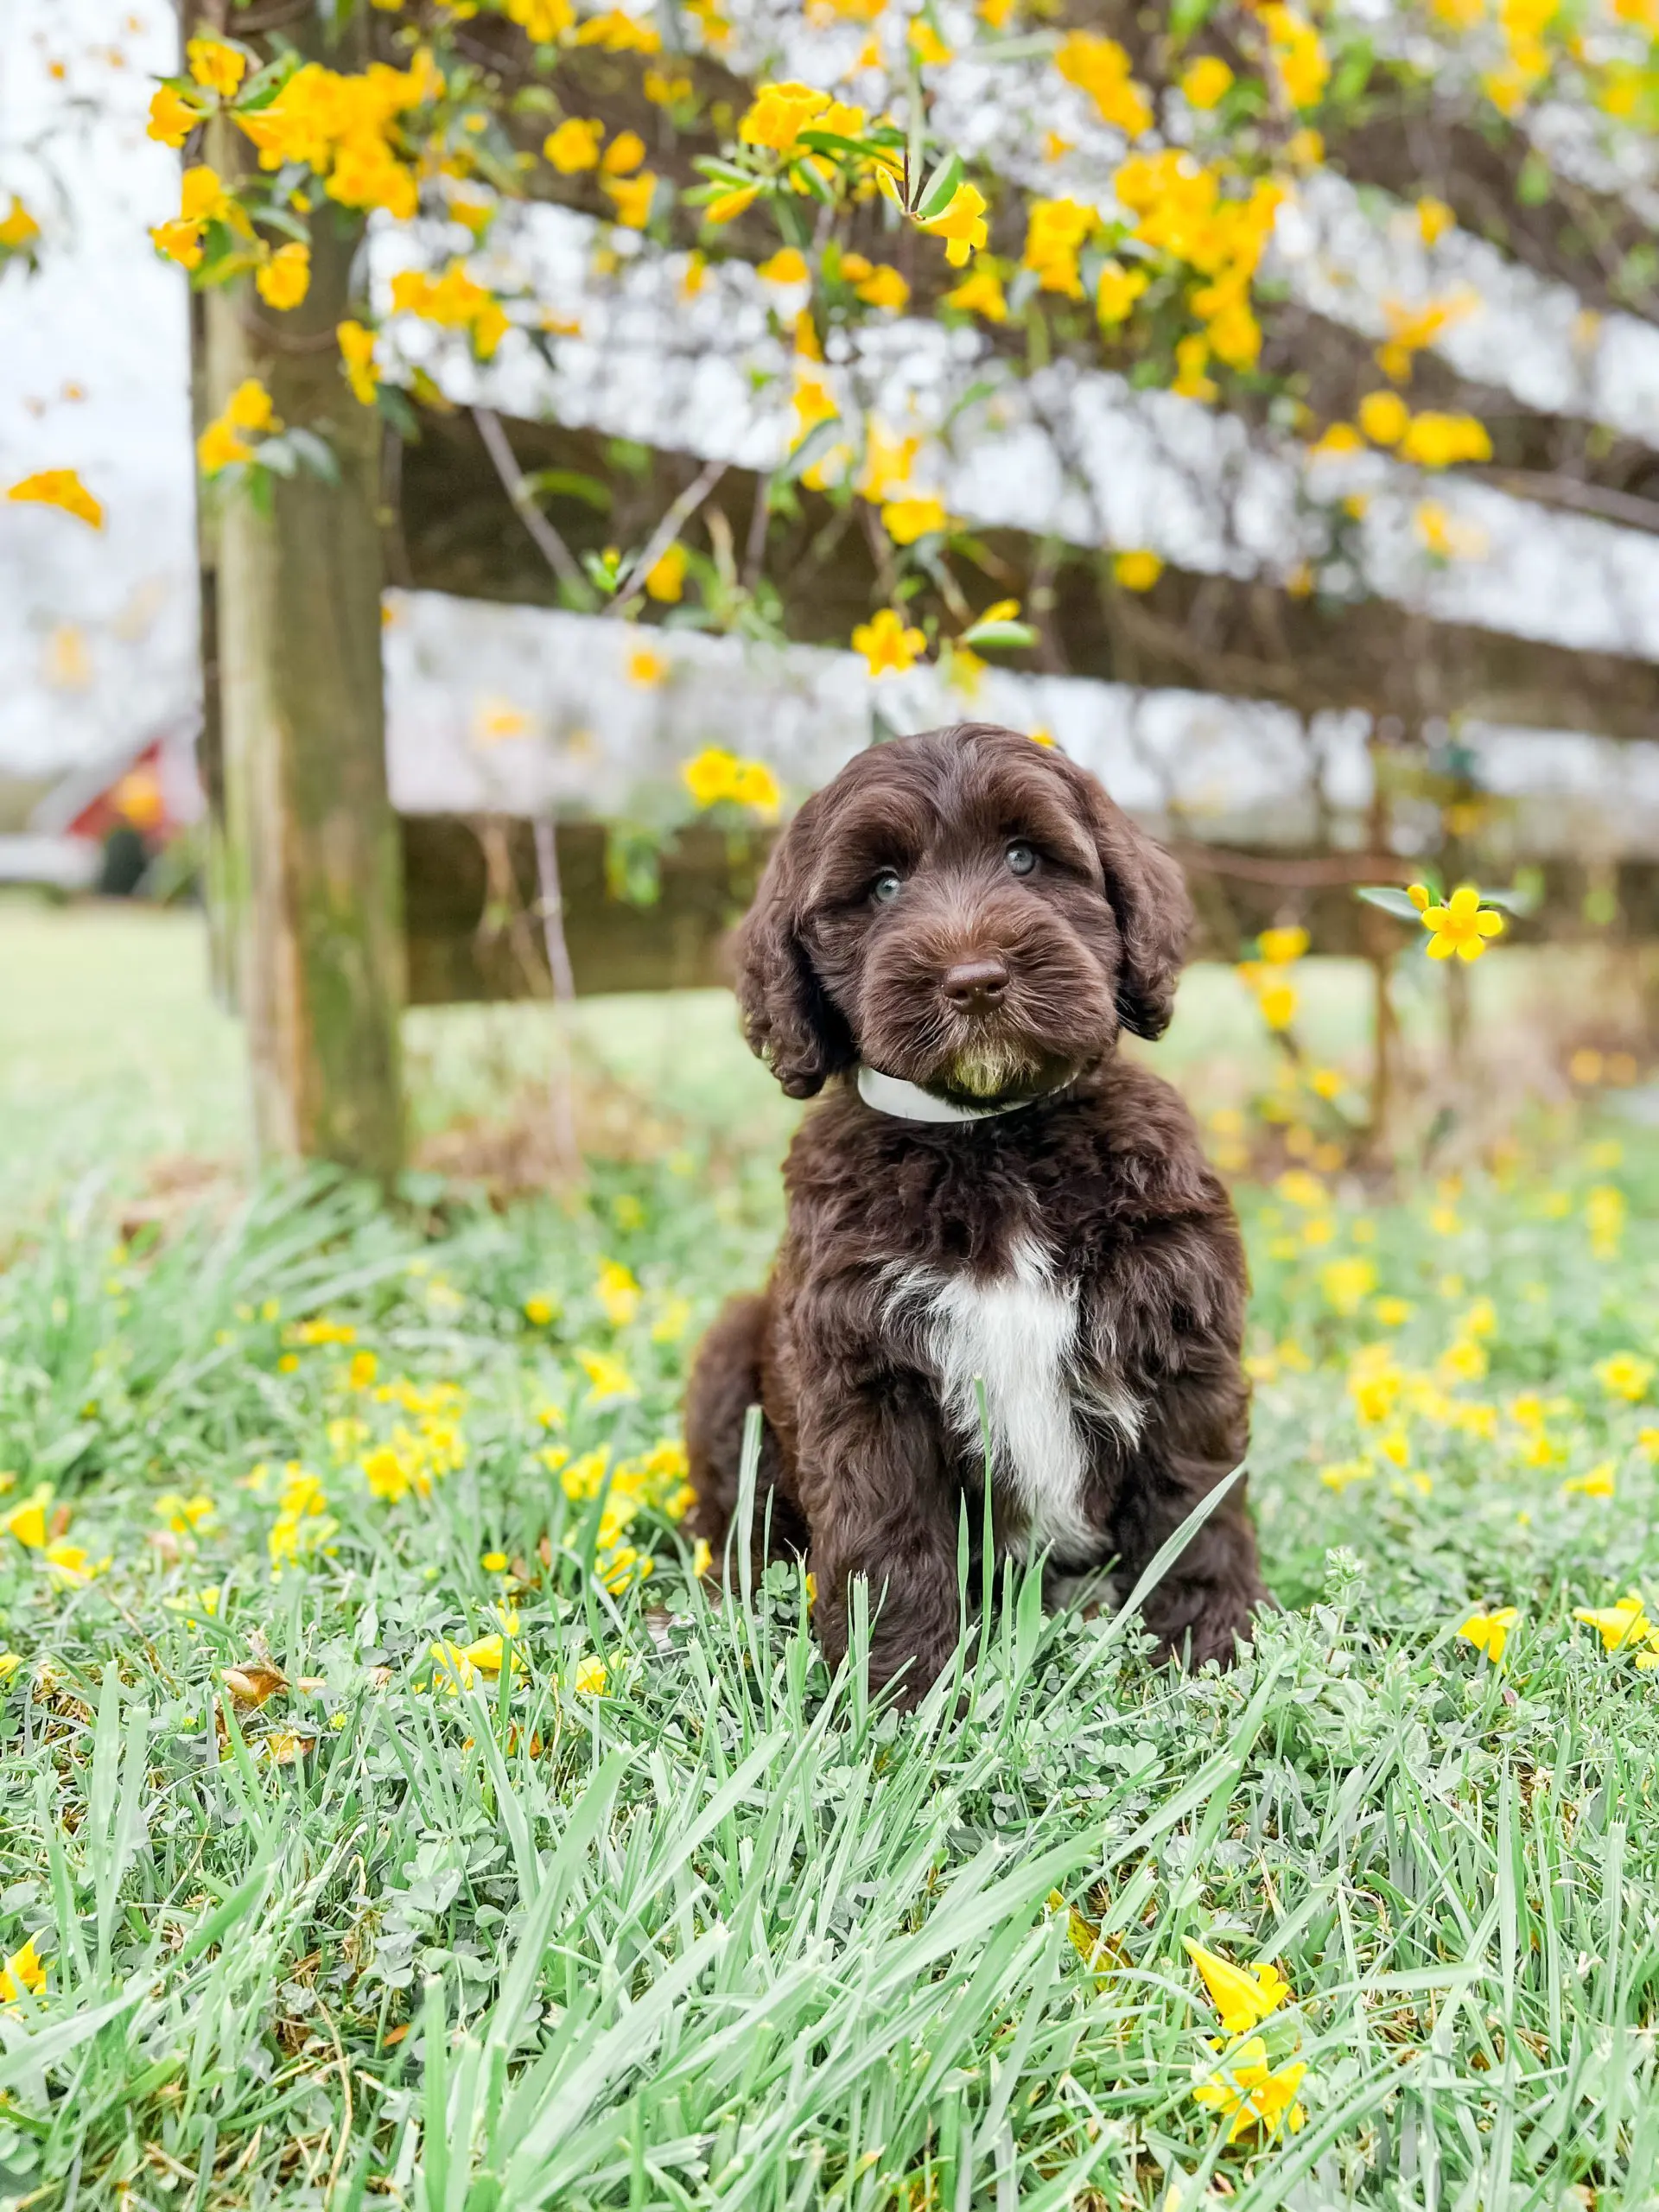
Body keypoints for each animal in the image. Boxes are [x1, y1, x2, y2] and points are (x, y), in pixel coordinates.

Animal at [681, 716, 1265, 1699]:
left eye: (1026, 858)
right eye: (882, 887)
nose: (976, 980)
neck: (993, 1136)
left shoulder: (1176, 1324)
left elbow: (1192, 1497)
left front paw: (1209, 1644)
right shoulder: (864, 1364)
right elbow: (889, 1537)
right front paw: (900, 1693)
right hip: (733, 1352)